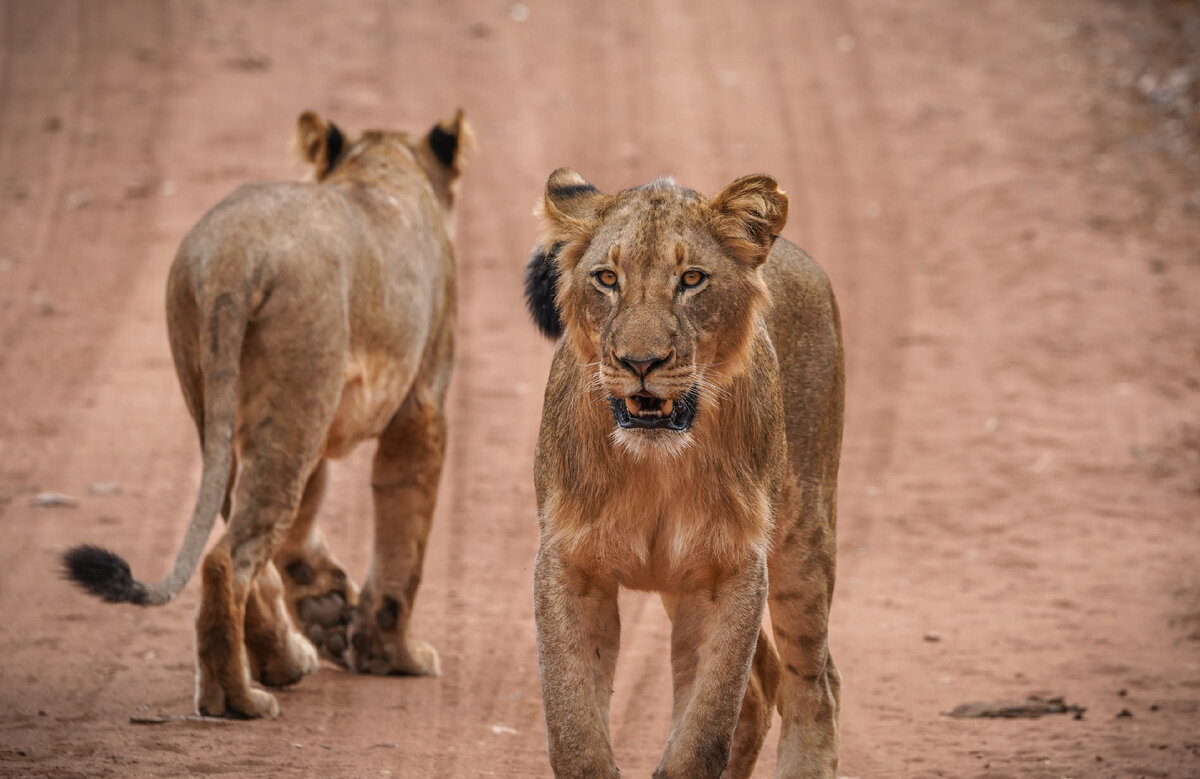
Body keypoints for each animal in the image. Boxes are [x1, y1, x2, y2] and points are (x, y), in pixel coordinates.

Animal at [62, 108, 468, 715]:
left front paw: (330, 614)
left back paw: (277, 664)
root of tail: (233, 254)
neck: (382, 162)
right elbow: (404, 537)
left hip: (239, 404)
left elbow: (303, 534)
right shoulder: (421, 408)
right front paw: (397, 657)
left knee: (243, 533)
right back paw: (240, 699)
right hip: (297, 393)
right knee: (229, 559)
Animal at [525, 166, 844, 772]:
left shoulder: (731, 568)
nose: (640, 363)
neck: (655, 465)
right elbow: (574, 728)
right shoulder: (569, 562)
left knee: (813, 683)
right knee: (765, 685)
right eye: (607, 278)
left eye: (692, 278)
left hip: (803, 535)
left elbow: (702, 733)